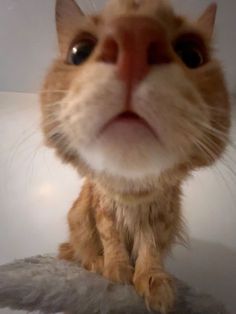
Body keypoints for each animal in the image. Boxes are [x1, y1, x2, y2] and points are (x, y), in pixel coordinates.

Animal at [40, 1, 230, 312]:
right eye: (79, 52)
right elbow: (112, 241)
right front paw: (115, 272)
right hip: (77, 216)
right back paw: (96, 263)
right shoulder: (103, 210)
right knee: (78, 252)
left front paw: (154, 282)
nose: (134, 35)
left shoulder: (160, 218)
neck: (133, 189)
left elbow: (149, 253)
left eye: (192, 54)